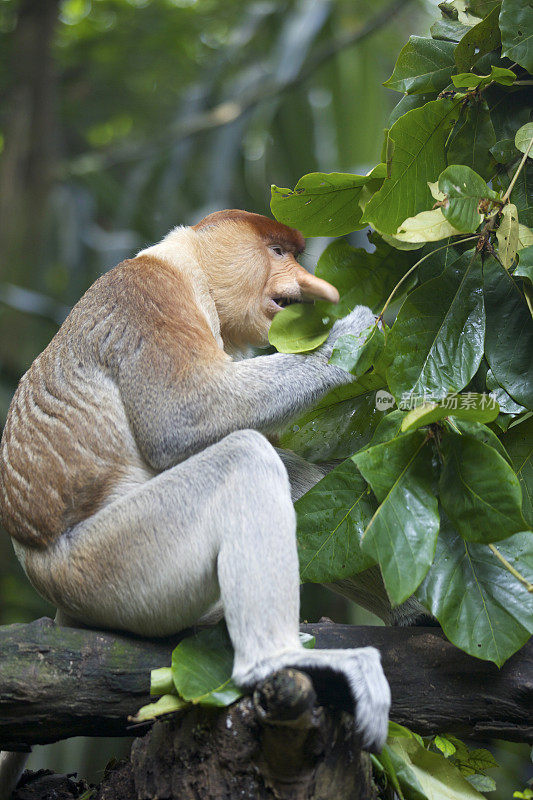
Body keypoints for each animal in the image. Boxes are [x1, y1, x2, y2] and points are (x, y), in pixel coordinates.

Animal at [1, 209, 390, 792]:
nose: (309, 284)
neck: (191, 272)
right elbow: (184, 415)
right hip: (114, 564)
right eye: (279, 252)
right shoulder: (149, 300)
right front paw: (356, 331)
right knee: (244, 459)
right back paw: (279, 662)